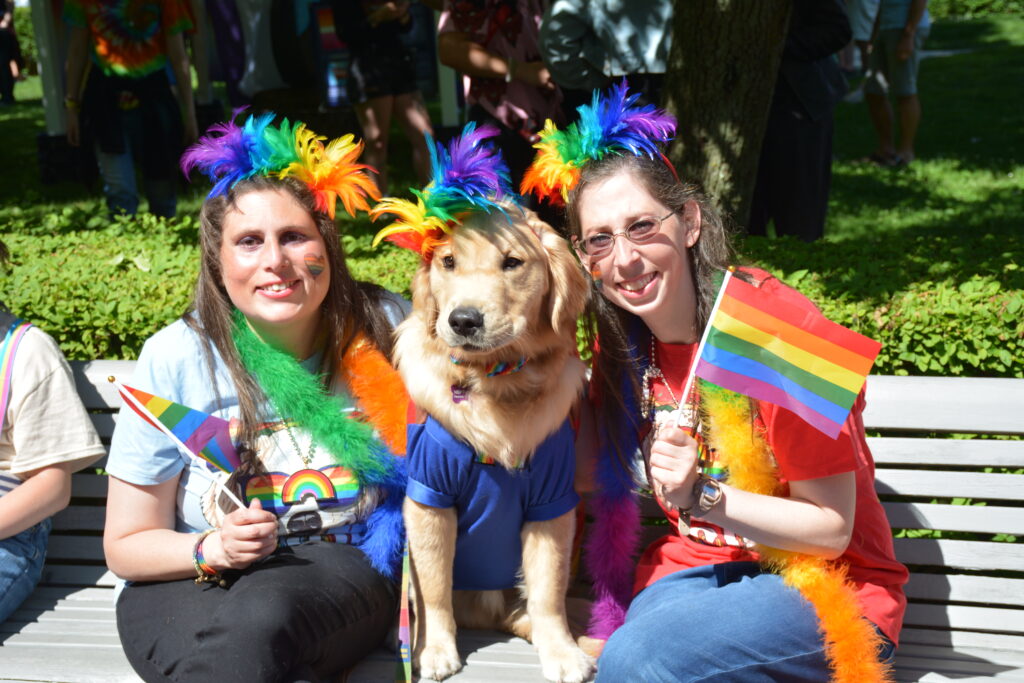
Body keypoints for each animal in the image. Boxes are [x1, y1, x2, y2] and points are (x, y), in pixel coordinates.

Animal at [395, 205, 598, 679]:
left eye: (512, 262)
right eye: (448, 262)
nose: (463, 320)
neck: (494, 382)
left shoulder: (552, 502)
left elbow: (548, 591)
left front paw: (562, 651)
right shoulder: (429, 497)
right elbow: (433, 590)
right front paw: (434, 649)